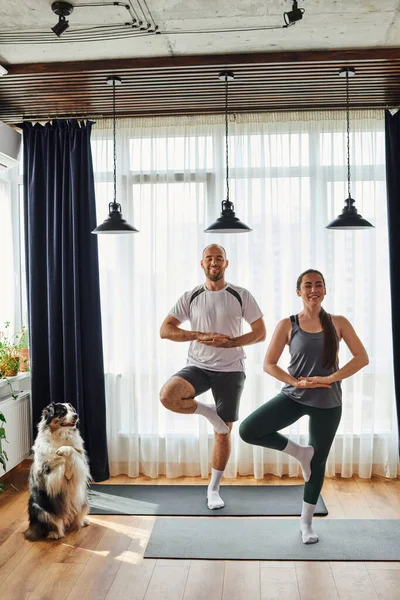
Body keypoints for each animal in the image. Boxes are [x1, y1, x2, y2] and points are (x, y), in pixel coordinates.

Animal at [24, 404, 92, 540]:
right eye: (62, 412)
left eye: (72, 410)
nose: (76, 415)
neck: (61, 435)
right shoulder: (49, 476)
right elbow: (57, 460)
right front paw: (60, 456)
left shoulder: (79, 463)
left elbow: (72, 451)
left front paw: (63, 451)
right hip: (38, 508)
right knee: (54, 524)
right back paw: (54, 533)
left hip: (83, 500)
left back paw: (83, 521)